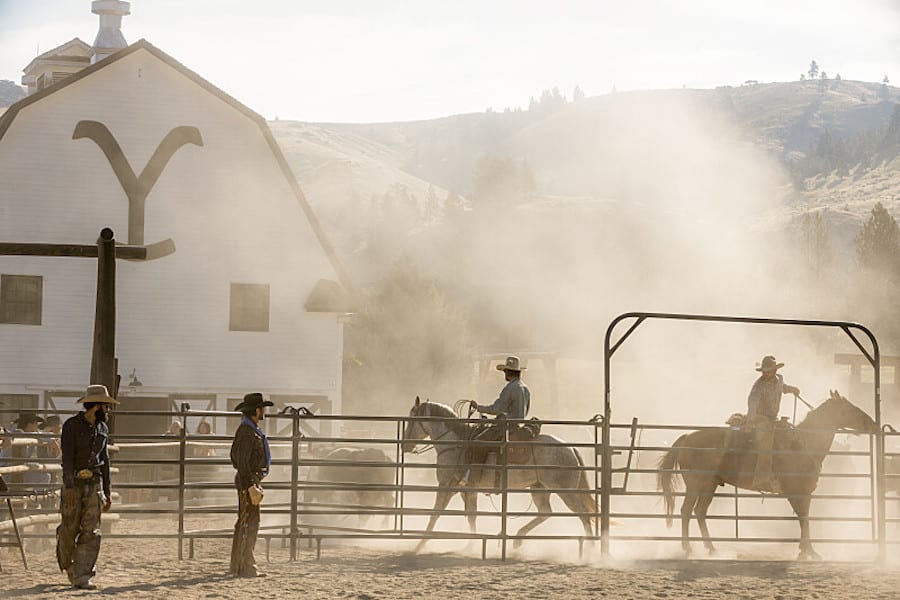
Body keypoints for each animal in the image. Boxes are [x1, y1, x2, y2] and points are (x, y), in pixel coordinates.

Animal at [402, 396, 596, 552]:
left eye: (411, 420)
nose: (405, 445)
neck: (456, 444)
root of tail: (571, 448)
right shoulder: (466, 489)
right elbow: (471, 515)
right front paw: (470, 545)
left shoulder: (446, 485)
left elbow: (435, 514)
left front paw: (419, 545)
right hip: (539, 488)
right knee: (545, 512)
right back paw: (517, 539)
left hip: (566, 490)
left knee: (584, 513)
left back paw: (591, 550)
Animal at [656, 392, 876, 560]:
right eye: (849, 409)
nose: (872, 423)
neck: (803, 443)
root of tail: (686, 437)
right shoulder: (797, 492)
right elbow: (804, 518)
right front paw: (809, 552)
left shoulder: (805, 493)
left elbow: (804, 518)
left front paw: (805, 550)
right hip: (695, 484)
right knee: (686, 511)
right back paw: (688, 548)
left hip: (709, 485)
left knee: (700, 512)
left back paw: (712, 549)